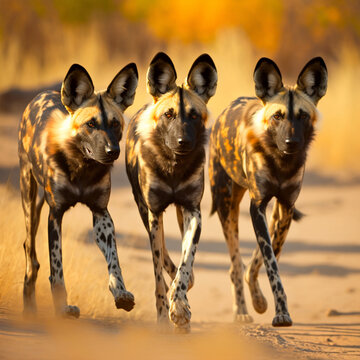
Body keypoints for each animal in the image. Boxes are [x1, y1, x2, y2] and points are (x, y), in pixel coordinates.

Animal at [19, 62, 139, 318]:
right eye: (91, 124)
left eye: (115, 124)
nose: (113, 151)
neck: (82, 168)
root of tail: (41, 95)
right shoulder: (55, 215)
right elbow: (57, 268)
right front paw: (62, 307)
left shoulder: (101, 213)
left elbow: (114, 261)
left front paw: (120, 293)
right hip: (29, 196)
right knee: (30, 251)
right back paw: (29, 307)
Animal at [126, 52, 217, 330]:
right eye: (169, 114)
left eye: (194, 116)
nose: (182, 142)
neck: (174, 166)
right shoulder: (154, 213)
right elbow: (159, 271)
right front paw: (163, 313)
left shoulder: (192, 212)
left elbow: (186, 263)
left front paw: (179, 307)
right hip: (146, 213)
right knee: (164, 254)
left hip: (178, 213)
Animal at [210, 57, 328, 326]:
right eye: (277, 116)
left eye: (302, 116)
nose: (291, 143)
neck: (281, 163)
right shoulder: (257, 207)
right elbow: (270, 264)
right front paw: (278, 311)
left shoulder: (285, 208)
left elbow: (267, 257)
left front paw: (263, 302)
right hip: (227, 210)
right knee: (235, 264)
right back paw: (241, 311)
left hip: (271, 214)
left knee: (246, 264)